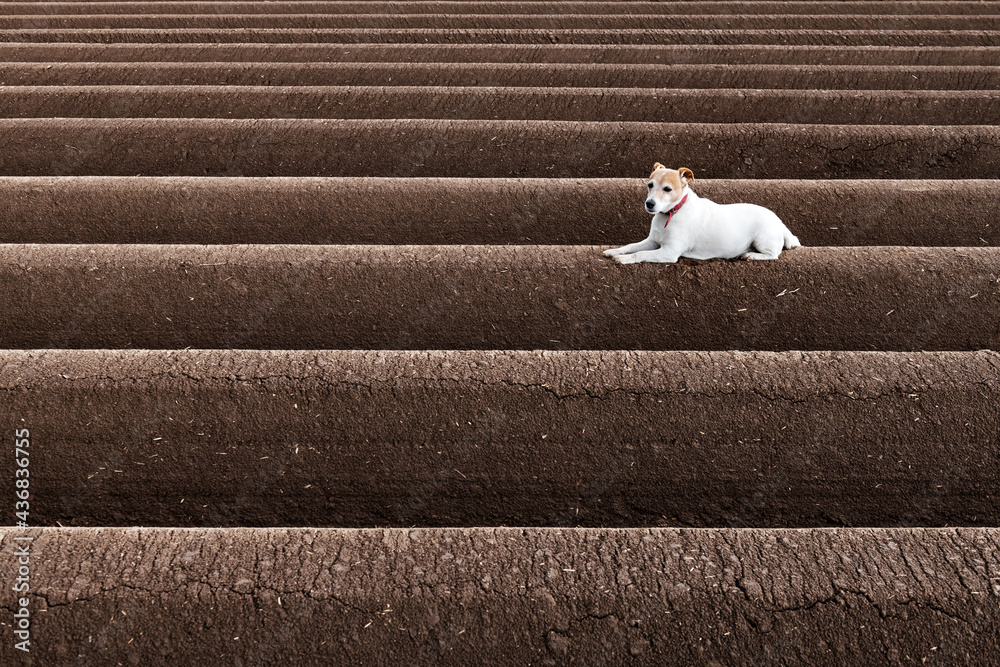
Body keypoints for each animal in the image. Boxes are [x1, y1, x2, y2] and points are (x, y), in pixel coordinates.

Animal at [600, 164, 804, 264]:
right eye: (649, 185)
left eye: (667, 189)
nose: (649, 204)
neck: (672, 213)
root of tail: (780, 223)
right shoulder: (652, 241)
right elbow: (632, 246)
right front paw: (615, 251)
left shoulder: (669, 252)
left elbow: (640, 254)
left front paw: (624, 259)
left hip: (763, 240)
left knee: (773, 255)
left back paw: (753, 256)